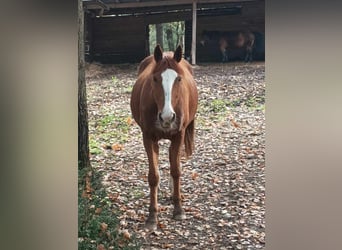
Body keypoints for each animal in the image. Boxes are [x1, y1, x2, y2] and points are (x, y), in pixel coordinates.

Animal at [132, 44, 200, 230]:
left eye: (179, 79)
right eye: (155, 79)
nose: (167, 117)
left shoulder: (178, 136)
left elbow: (176, 171)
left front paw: (178, 209)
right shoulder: (148, 138)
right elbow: (153, 176)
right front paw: (152, 216)